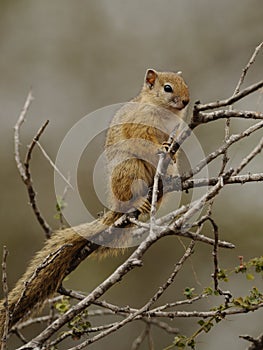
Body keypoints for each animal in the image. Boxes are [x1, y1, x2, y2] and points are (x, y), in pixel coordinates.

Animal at [0, 68, 190, 340]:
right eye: (167, 88)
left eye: (185, 83)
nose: (185, 101)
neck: (162, 110)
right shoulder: (139, 123)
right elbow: (142, 136)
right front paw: (160, 147)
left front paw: (171, 151)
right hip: (129, 168)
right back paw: (141, 201)